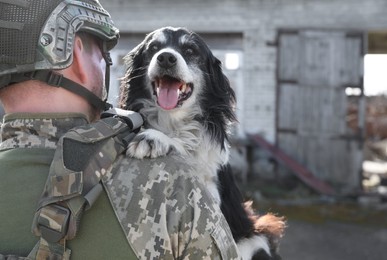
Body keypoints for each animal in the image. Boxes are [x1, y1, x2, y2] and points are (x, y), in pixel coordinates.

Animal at [119, 26, 284, 258]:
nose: (166, 58)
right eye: (154, 48)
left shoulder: (211, 201)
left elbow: (187, 145)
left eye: (190, 50)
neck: (172, 121)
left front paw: (155, 138)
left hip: (254, 243)